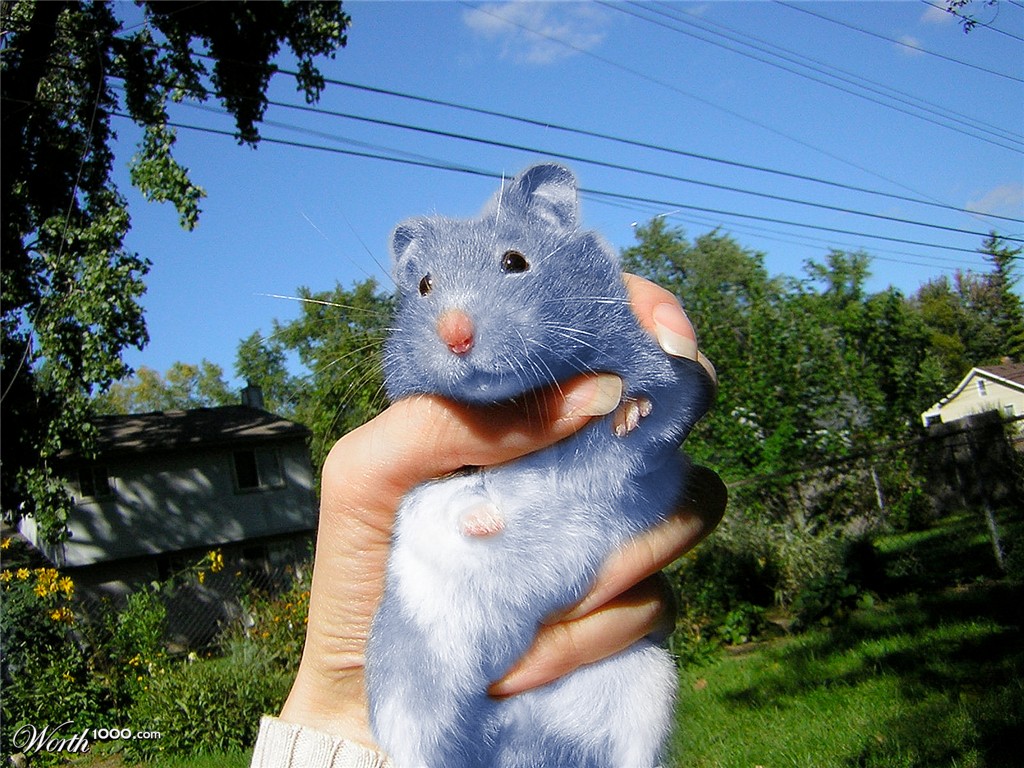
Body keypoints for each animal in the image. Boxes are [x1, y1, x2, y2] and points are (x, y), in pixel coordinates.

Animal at [366, 163, 714, 768]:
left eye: (515, 262)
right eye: (424, 286)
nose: (455, 334)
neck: (519, 403)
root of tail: (517, 741)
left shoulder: (665, 411)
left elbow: (650, 416)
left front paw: (628, 411)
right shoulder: (418, 486)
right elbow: (446, 498)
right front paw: (489, 520)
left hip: (646, 684)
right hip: (401, 696)